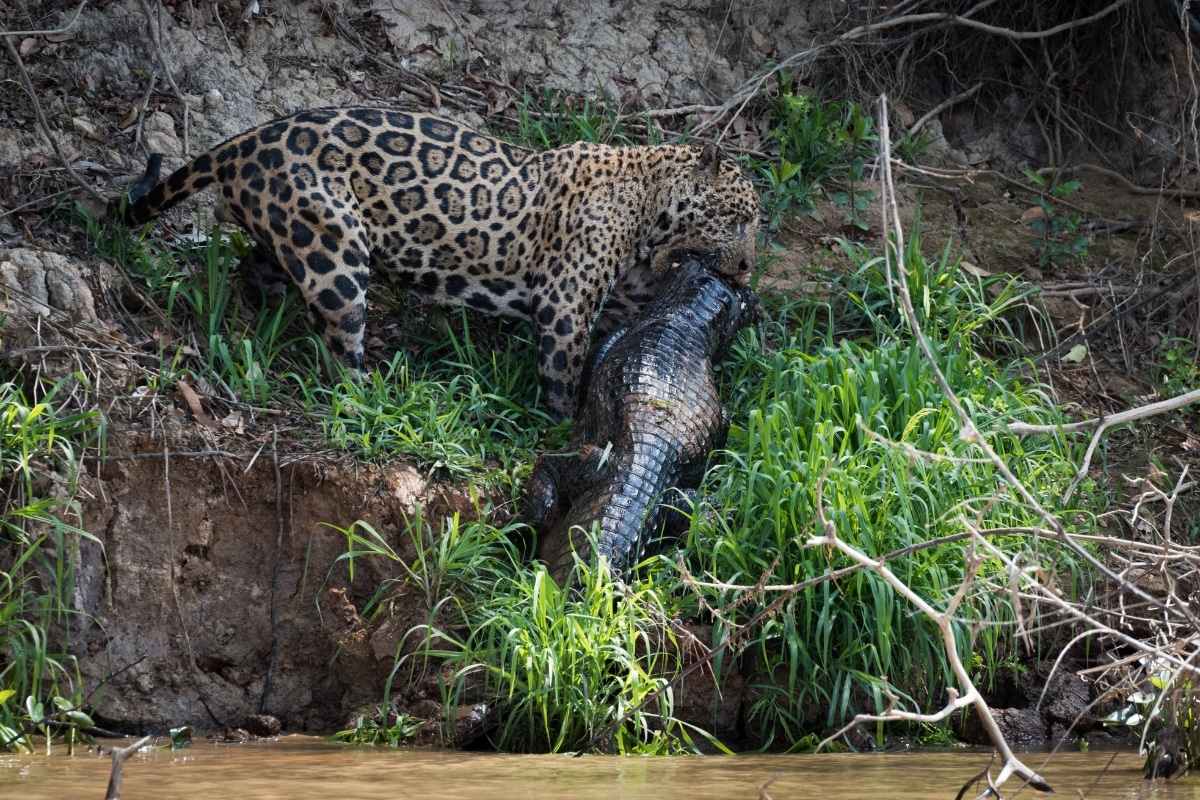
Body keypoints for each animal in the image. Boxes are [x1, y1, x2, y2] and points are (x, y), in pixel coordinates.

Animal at [123, 106, 759, 419]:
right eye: (743, 218)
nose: (751, 267)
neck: (649, 208)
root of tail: (241, 142)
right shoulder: (564, 304)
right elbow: (563, 372)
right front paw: (566, 424)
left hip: (293, 233)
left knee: (256, 266)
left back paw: (266, 317)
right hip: (336, 252)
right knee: (341, 349)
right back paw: (377, 394)